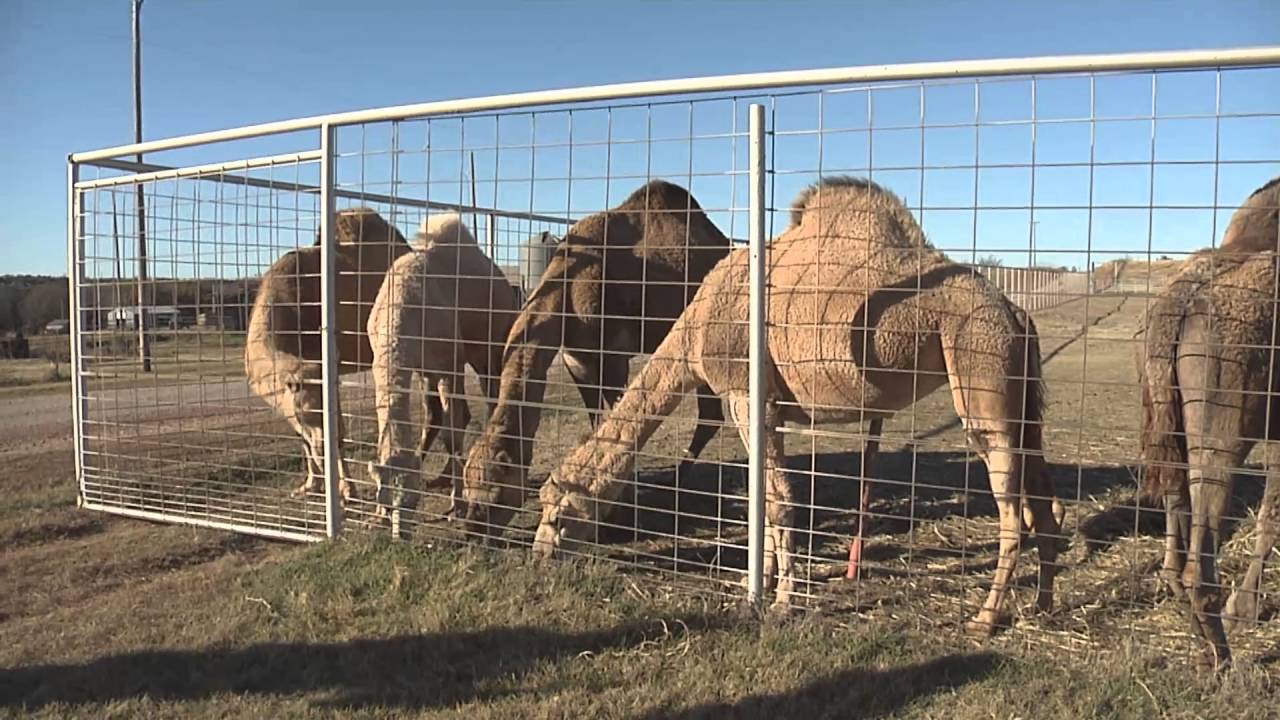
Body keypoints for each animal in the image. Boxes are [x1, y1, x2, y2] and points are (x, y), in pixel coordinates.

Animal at [246, 207, 412, 501]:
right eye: (306, 413)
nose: (324, 448)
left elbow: (340, 432)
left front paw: (346, 490)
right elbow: (302, 438)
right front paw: (310, 485)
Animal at [365, 213, 519, 532]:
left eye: (413, 501)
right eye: (385, 497)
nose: (401, 534)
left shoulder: (450, 364)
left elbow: (452, 431)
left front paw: (457, 507)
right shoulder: (407, 366)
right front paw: (376, 516)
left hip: (488, 348)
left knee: (488, 401)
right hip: (433, 371)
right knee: (443, 414)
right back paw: (442, 476)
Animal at [460, 179, 732, 537]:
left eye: (494, 497)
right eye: (465, 490)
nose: (470, 530)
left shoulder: (613, 357)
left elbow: (618, 422)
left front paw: (619, 508)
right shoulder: (578, 360)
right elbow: (595, 418)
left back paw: (676, 482)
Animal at [534, 176, 1066, 636]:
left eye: (557, 515)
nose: (539, 553)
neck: (695, 329)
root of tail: (1015, 312)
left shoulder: (745, 395)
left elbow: (780, 501)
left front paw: (783, 601)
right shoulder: (768, 407)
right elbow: (766, 498)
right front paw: (759, 583)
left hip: (981, 372)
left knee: (1012, 511)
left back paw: (985, 618)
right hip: (1019, 397)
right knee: (1043, 497)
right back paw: (1042, 605)